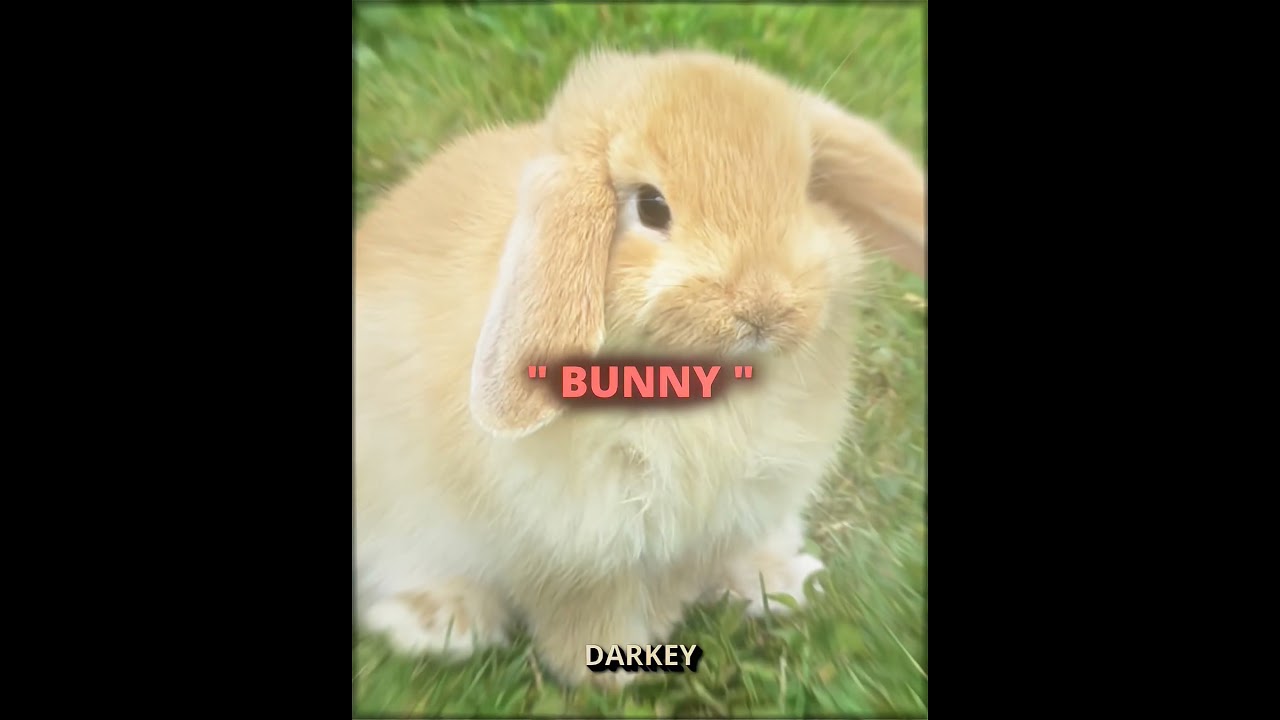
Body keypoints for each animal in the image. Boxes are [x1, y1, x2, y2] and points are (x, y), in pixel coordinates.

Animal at [354, 48, 925, 690]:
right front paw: (616, 673)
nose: (765, 307)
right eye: (651, 206)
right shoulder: (577, 553)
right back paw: (439, 623)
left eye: (806, 190)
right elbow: (589, 615)